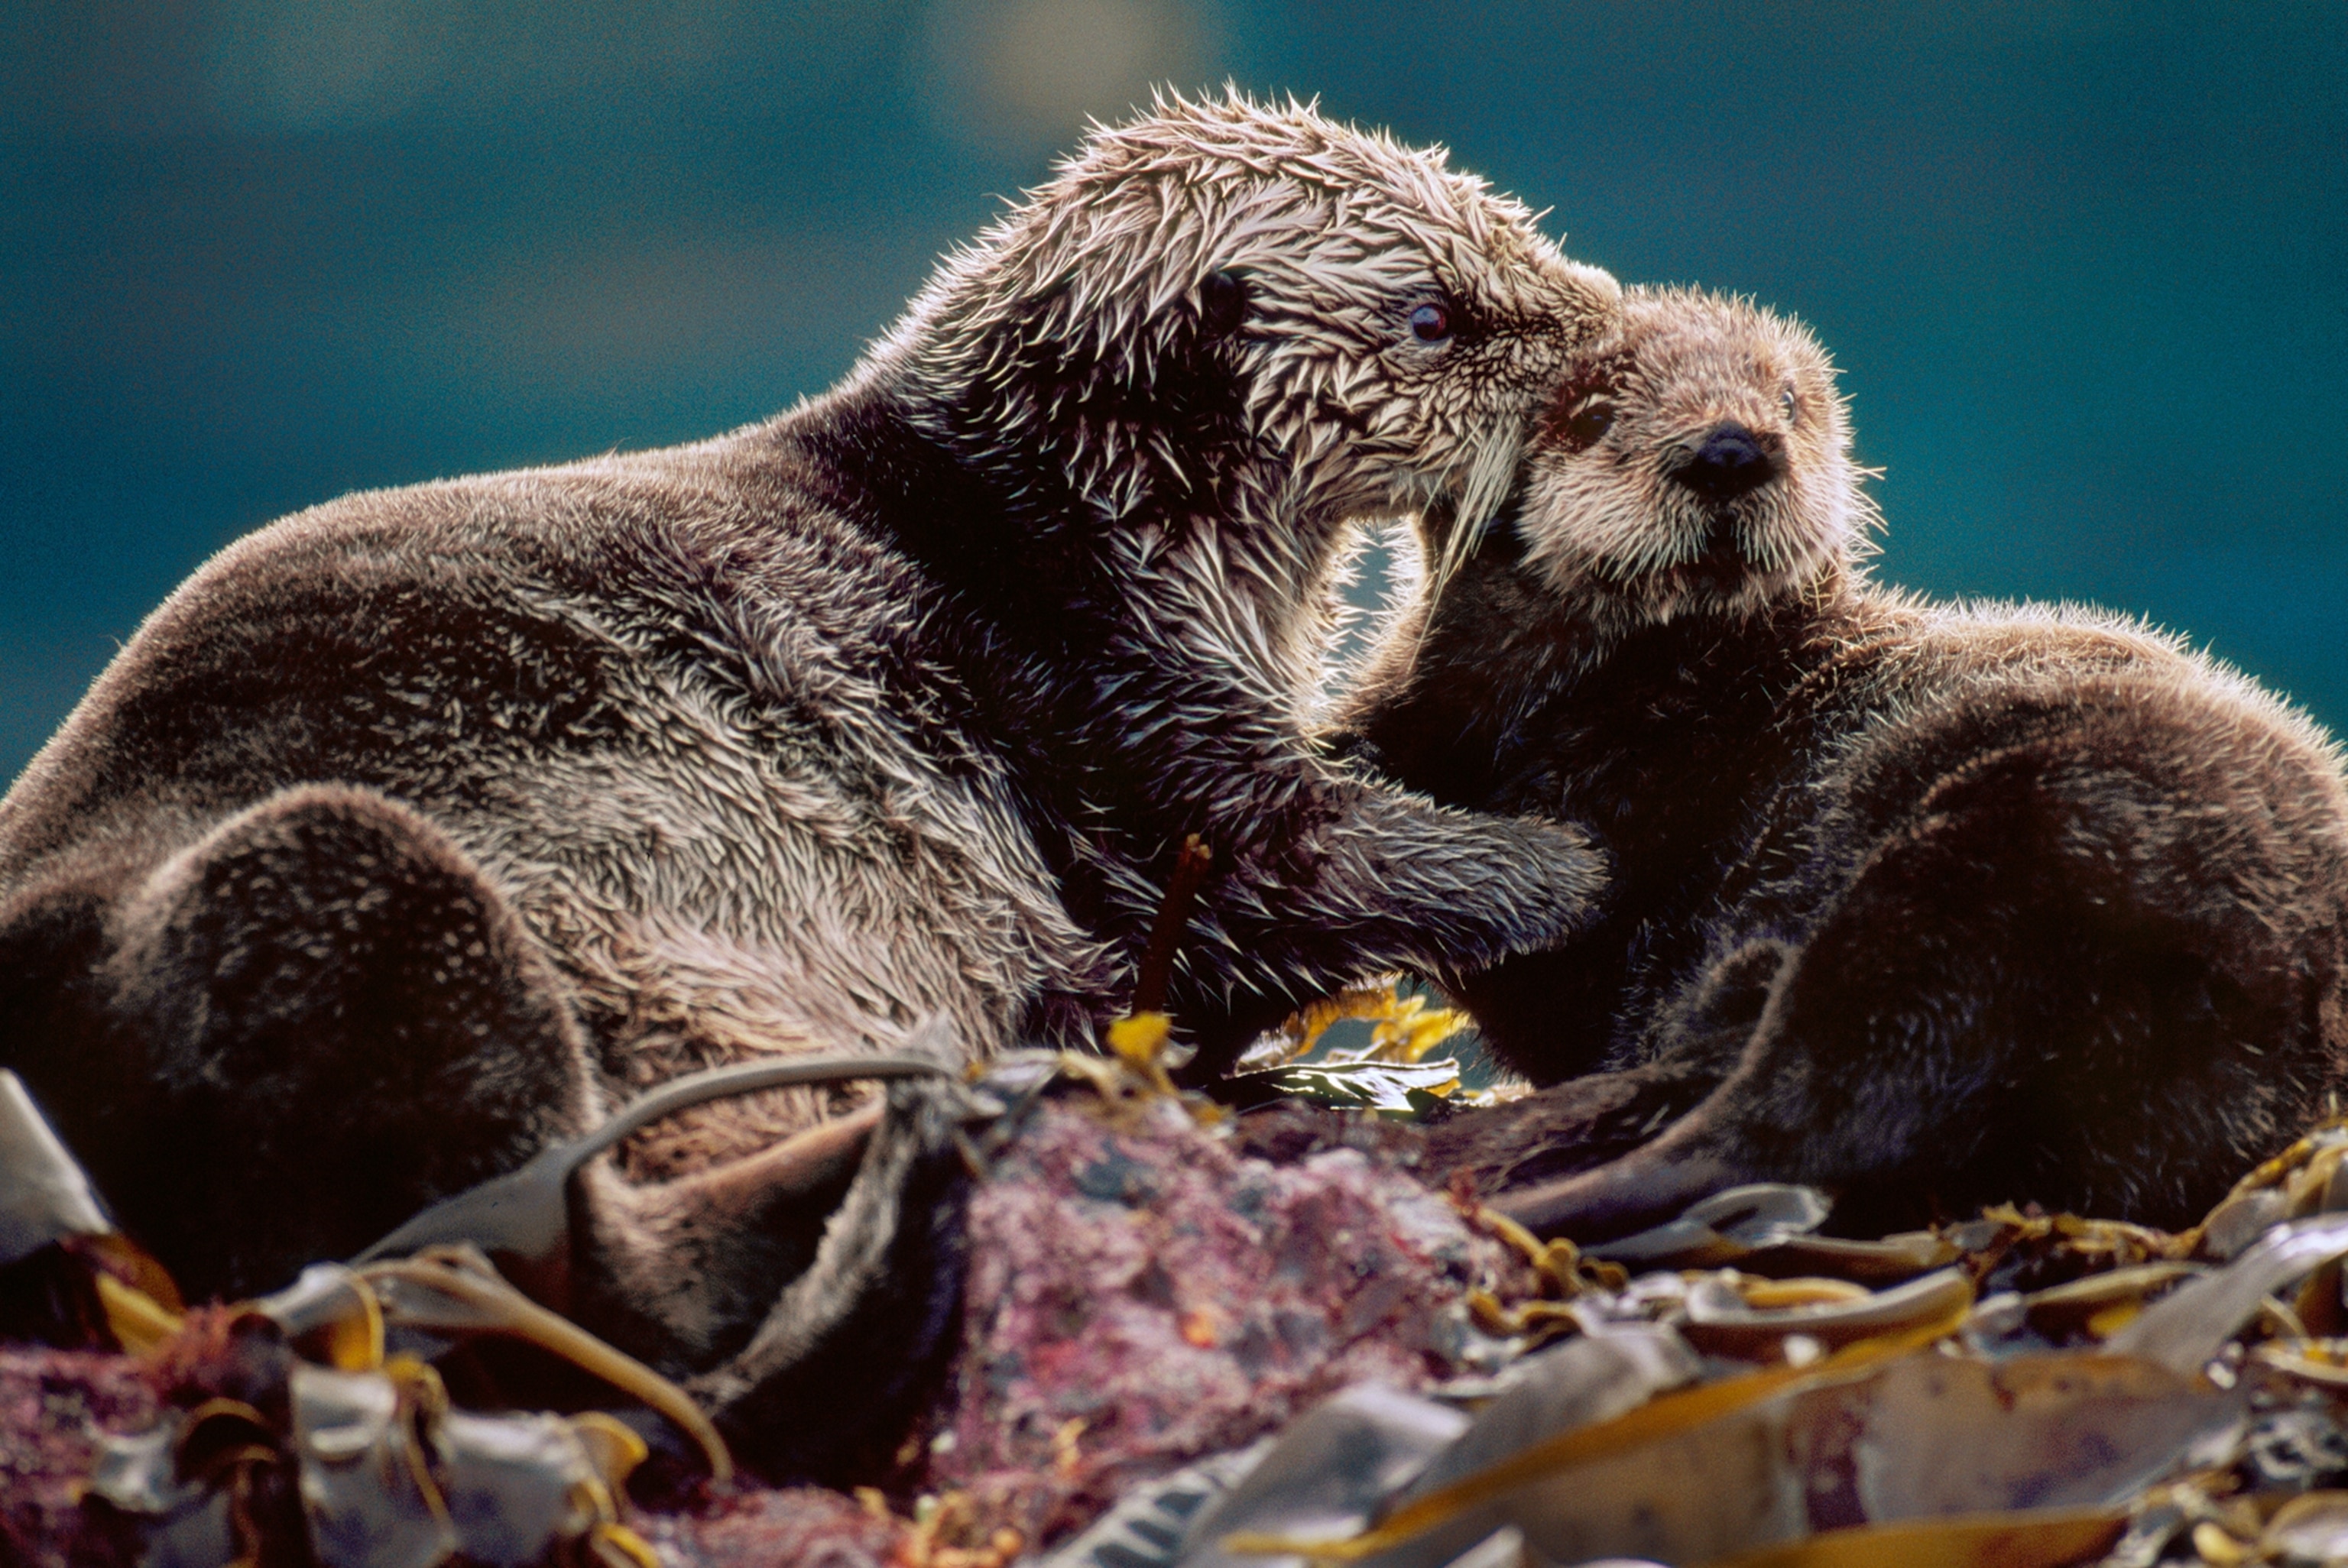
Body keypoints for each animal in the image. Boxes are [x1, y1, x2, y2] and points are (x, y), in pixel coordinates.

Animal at [0, 97, 1618, 1372]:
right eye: (1437, 318)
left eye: (1520, 246)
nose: (1603, 344)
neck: (1056, 527)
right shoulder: (1117, 720)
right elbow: (1286, 871)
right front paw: (1565, 866)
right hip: (355, 882)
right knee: (564, 1267)